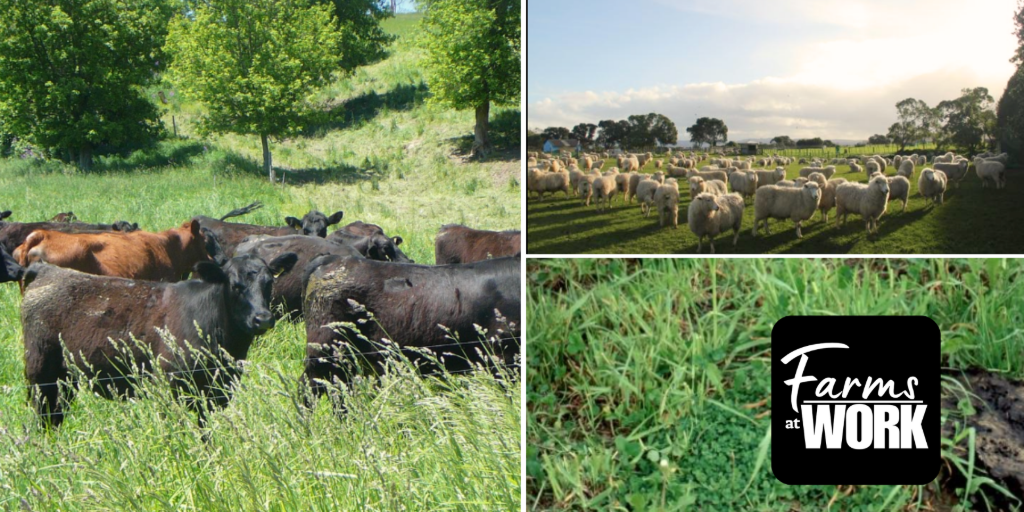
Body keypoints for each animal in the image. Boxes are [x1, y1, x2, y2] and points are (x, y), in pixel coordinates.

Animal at [20, 241, 296, 425]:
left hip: (65, 379)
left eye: (269, 283)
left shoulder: (215, 393)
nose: (262, 318)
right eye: (235, 285)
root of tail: (47, 270)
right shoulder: (170, 387)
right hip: (40, 372)